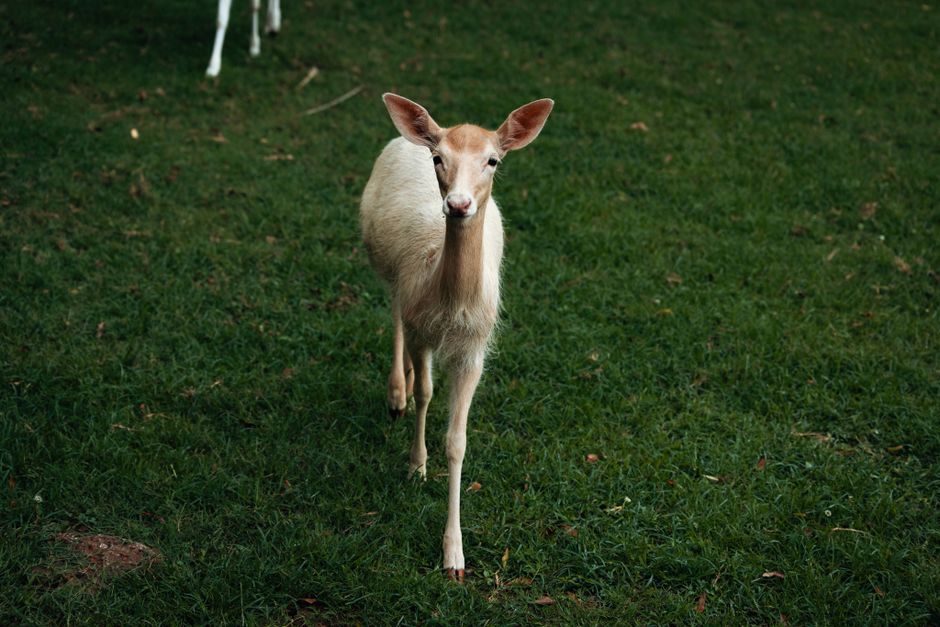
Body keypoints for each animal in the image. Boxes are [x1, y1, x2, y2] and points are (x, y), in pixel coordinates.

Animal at [360, 93, 554, 580]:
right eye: (439, 158)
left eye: (493, 160)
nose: (459, 204)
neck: (450, 306)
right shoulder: (420, 325)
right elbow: (427, 394)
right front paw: (416, 466)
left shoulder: (475, 349)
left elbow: (458, 442)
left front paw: (454, 557)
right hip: (385, 266)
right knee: (394, 311)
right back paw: (396, 391)